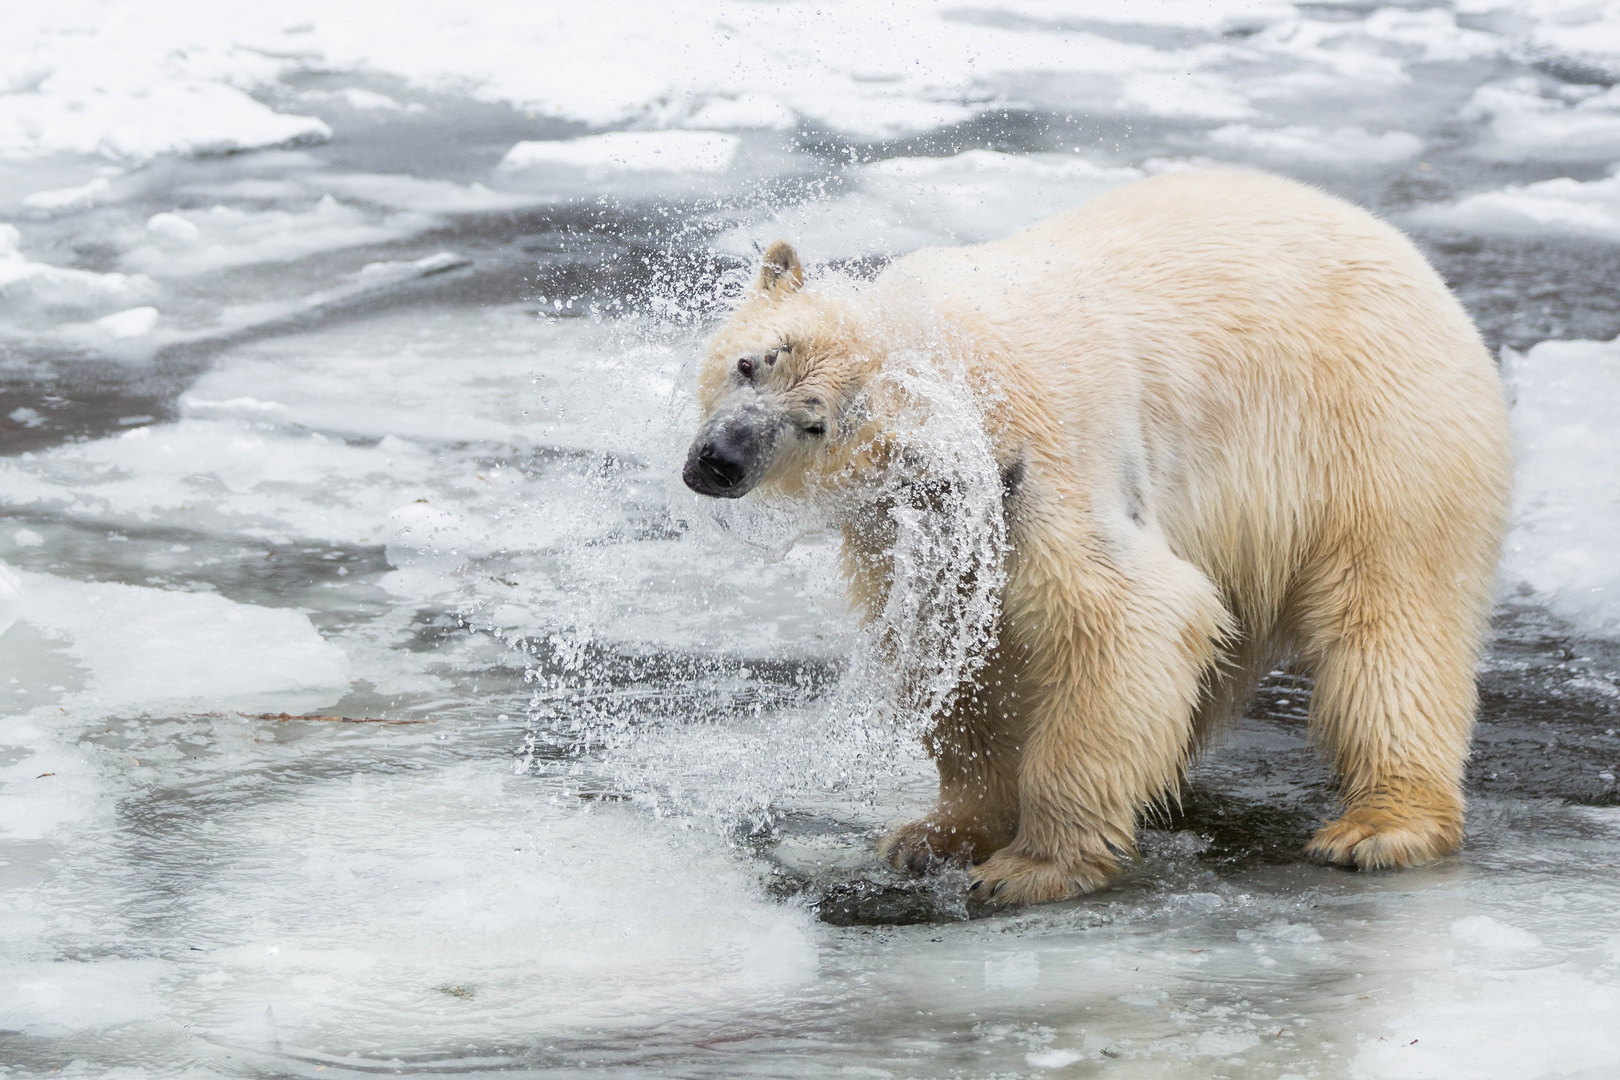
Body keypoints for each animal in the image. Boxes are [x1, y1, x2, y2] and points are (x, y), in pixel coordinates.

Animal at [677, 175, 1509, 906]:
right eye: (748, 363)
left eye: (816, 421)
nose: (717, 461)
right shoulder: (928, 527)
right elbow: (964, 650)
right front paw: (936, 834)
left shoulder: (1044, 472)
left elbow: (1122, 621)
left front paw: (1031, 867)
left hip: (1376, 434)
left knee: (1388, 623)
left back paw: (1379, 825)